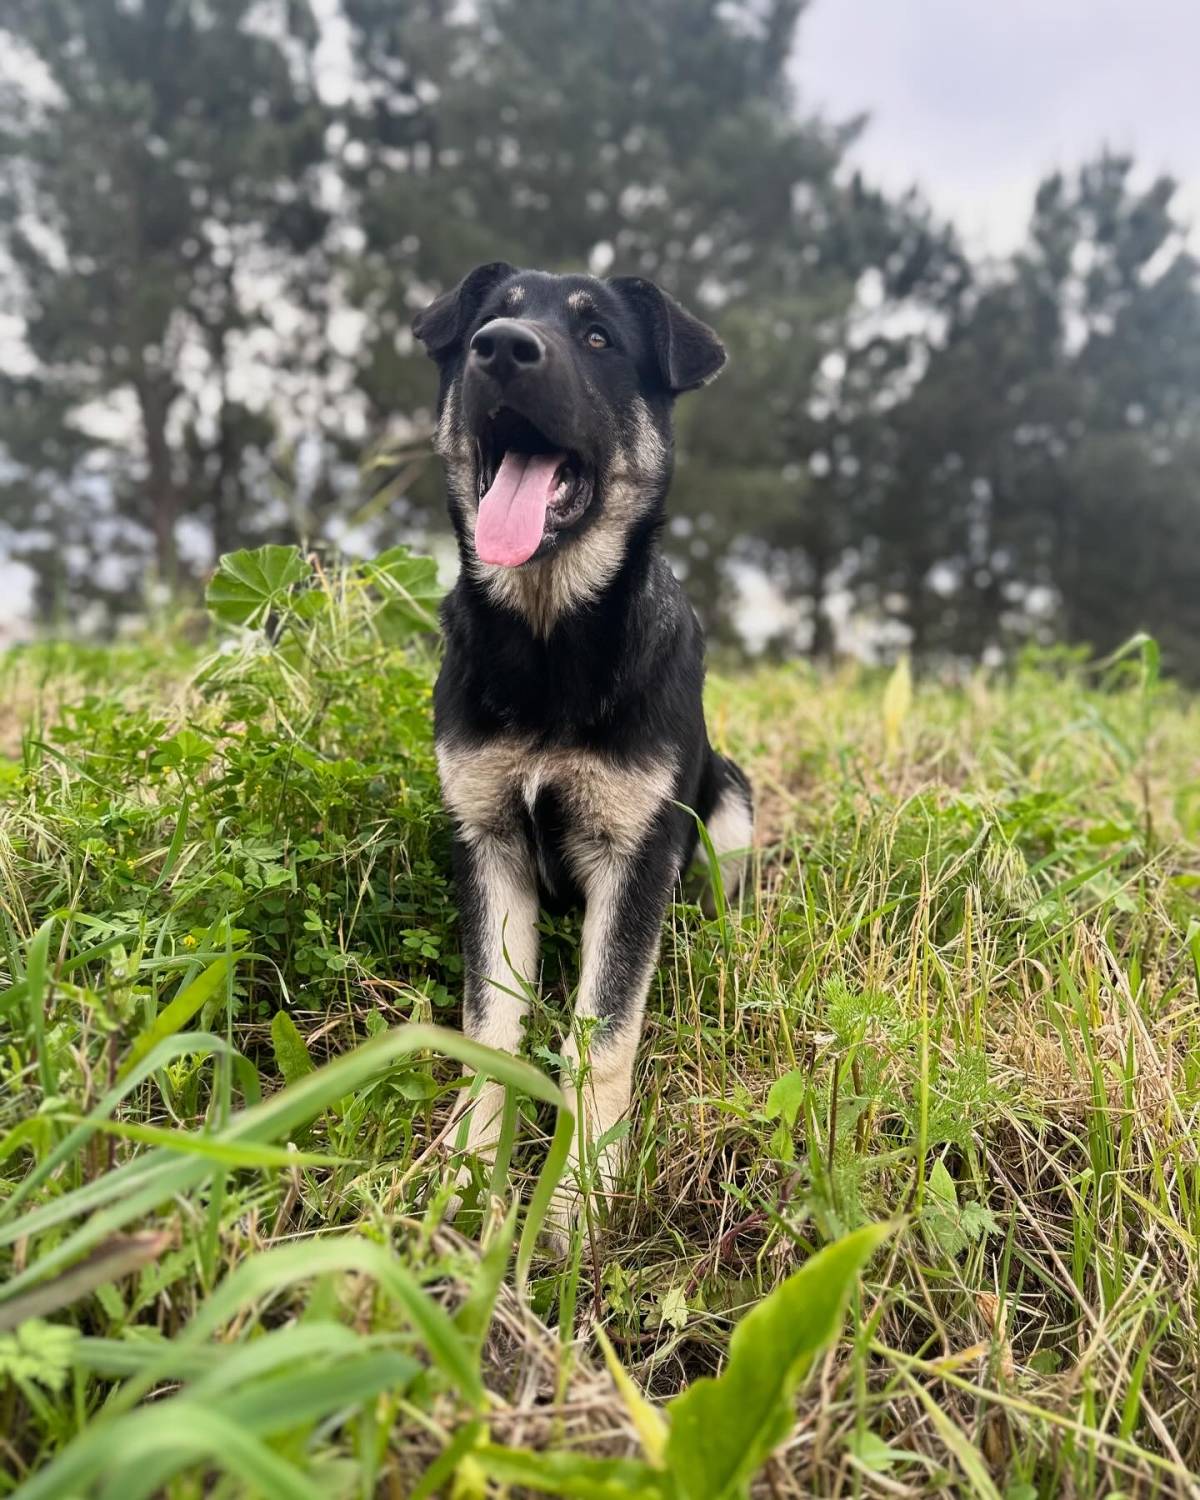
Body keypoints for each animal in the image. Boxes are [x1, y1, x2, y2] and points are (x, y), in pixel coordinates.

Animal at [414, 264, 750, 1224]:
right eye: (488, 322)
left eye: (598, 337)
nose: (500, 348)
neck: (548, 639)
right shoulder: (488, 843)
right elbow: (493, 1024)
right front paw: (468, 1174)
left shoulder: (636, 855)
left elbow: (601, 1037)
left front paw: (581, 1198)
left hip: (729, 804)